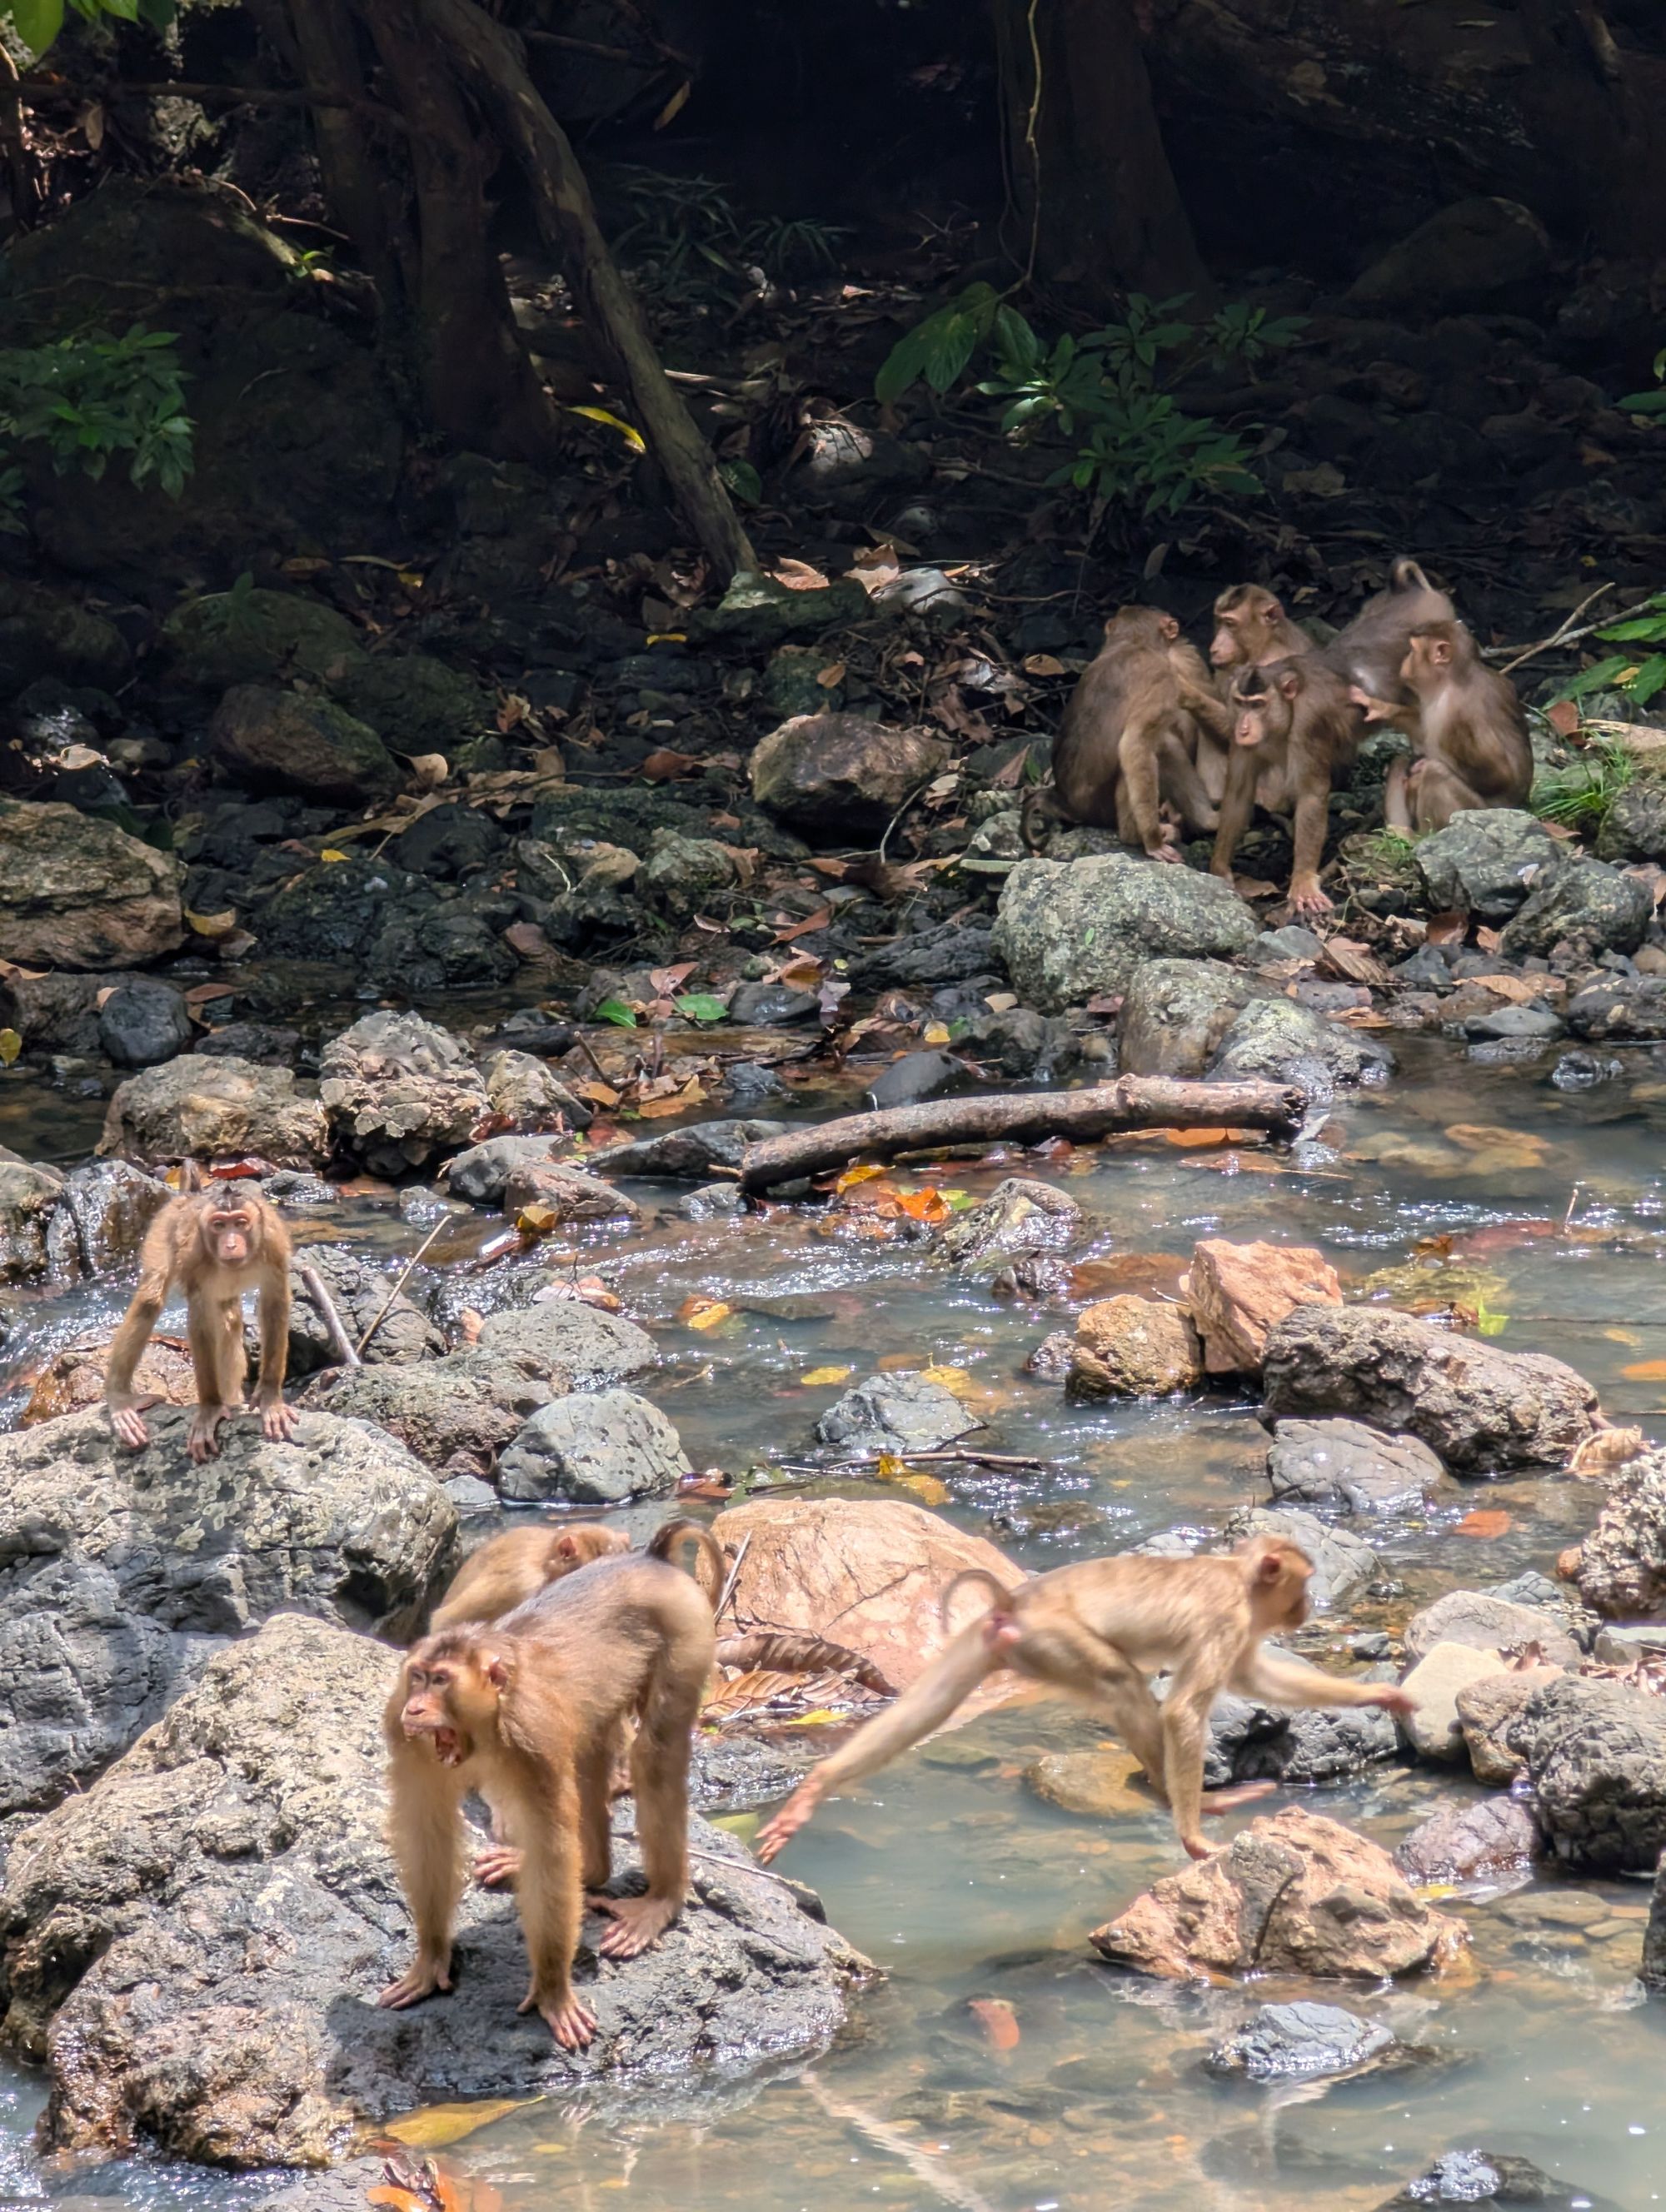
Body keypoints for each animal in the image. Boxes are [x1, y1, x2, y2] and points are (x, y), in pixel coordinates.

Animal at [104, 1176, 296, 1468]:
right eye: (219, 1225)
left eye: (240, 1223)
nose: (231, 1244)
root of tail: (191, 1195)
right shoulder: (195, 1258)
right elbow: (200, 1318)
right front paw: (211, 1407)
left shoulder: (273, 1245)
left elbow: (274, 1304)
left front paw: (269, 1397)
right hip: (165, 1226)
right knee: (151, 1299)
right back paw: (120, 1399)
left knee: (229, 1317)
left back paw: (232, 1397)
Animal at [380, 1548, 712, 2044]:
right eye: (418, 1677)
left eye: (440, 1681)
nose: (415, 1709)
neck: (485, 1727)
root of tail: (648, 1558)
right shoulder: (408, 1738)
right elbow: (428, 1835)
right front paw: (432, 1956)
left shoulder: (533, 1736)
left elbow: (551, 1852)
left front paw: (552, 1990)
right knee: (592, 1752)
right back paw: (591, 1869)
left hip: (687, 1627)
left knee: (654, 1755)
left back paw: (661, 1900)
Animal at [1022, 610, 1212, 858]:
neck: (1131, 643)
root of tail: (1063, 801)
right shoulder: (1165, 678)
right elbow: (1135, 744)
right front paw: (1153, 843)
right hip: (1102, 811)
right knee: (1155, 749)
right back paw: (1139, 836)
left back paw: (1208, 821)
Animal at [1212, 650, 1363, 911]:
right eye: (1241, 704)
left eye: (1258, 704)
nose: (1244, 729)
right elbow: (1238, 793)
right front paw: (1219, 867)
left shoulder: (1308, 725)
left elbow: (1311, 795)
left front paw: (1303, 879)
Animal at [1344, 619, 1530, 831]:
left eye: (1412, 650)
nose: (1403, 663)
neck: (1453, 679)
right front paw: (1377, 706)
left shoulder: (1458, 716)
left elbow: (1501, 775)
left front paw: (1419, 771)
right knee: (1400, 762)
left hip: (1472, 808)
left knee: (1435, 773)